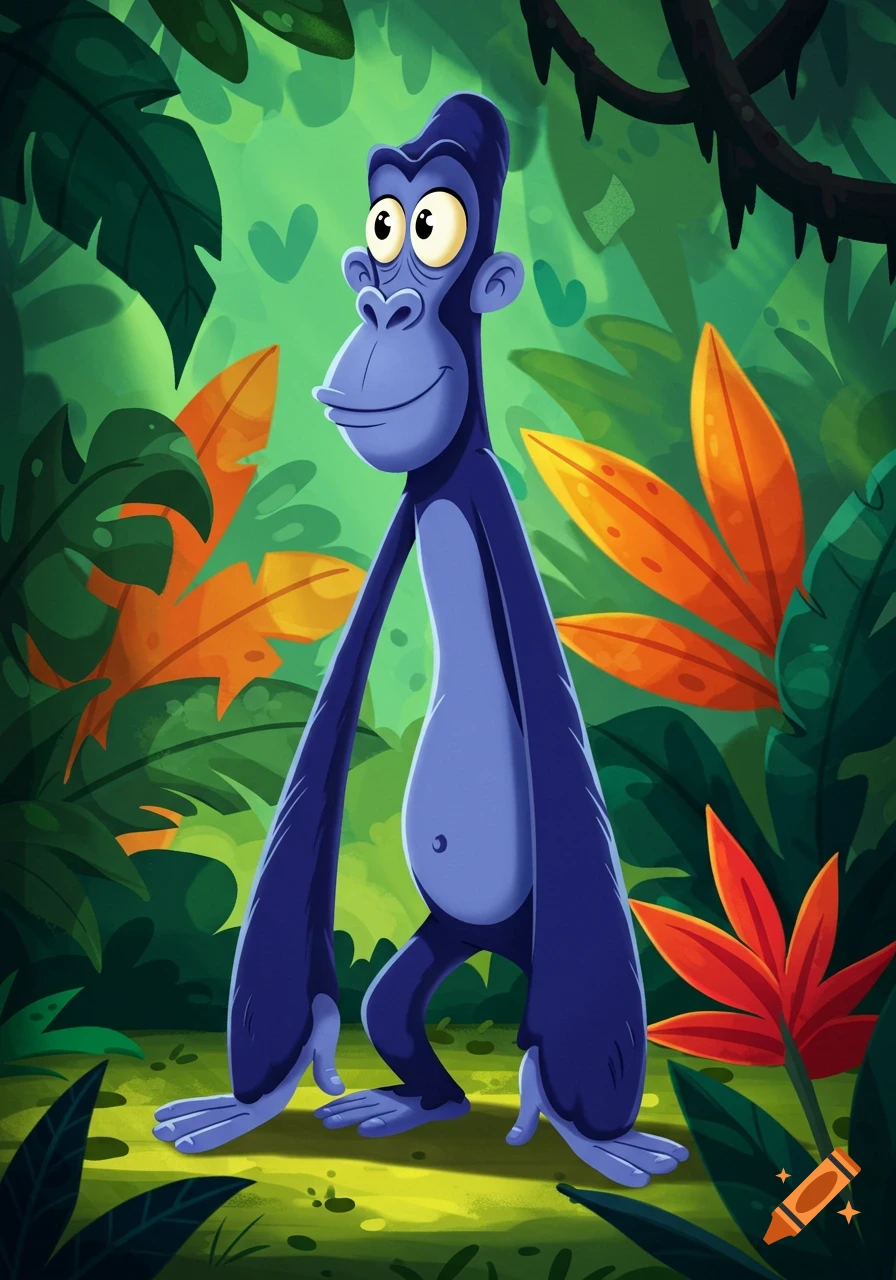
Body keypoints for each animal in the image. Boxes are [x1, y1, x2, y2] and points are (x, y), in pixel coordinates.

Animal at [153, 93, 688, 1187]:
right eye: (384, 225)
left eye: (433, 229)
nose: (382, 306)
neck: (439, 481)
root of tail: (499, 938)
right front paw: (260, 1085)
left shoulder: (474, 489)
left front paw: (578, 1114)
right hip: (438, 934)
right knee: (388, 1004)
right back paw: (415, 1096)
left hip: (525, 933)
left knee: (522, 1016)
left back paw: (574, 1122)